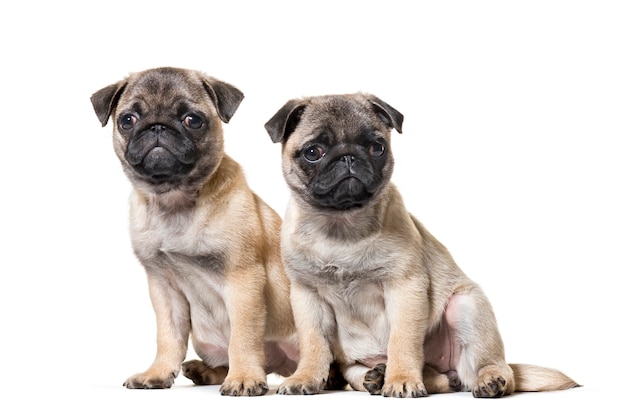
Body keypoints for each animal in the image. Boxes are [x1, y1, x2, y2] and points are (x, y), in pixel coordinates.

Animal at [88, 66, 300, 394]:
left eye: (192, 120)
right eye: (128, 120)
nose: (157, 127)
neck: (174, 201)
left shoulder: (243, 281)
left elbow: (243, 336)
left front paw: (243, 377)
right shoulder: (164, 289)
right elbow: (169, 336)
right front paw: (158, 372)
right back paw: (204, 371)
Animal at [262, 93, 576, 396]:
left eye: (377, 147)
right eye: (313, 152)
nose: (348, 157)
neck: (341, 225)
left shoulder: (405, 288)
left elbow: (403, 342)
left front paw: (401, 380)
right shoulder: (307, 297)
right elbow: (314, 344)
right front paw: (305, 377)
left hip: (467, 306)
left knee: (487, 368)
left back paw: (488, 380)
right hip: (352, 363)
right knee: (433, 378)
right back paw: (376, 377)